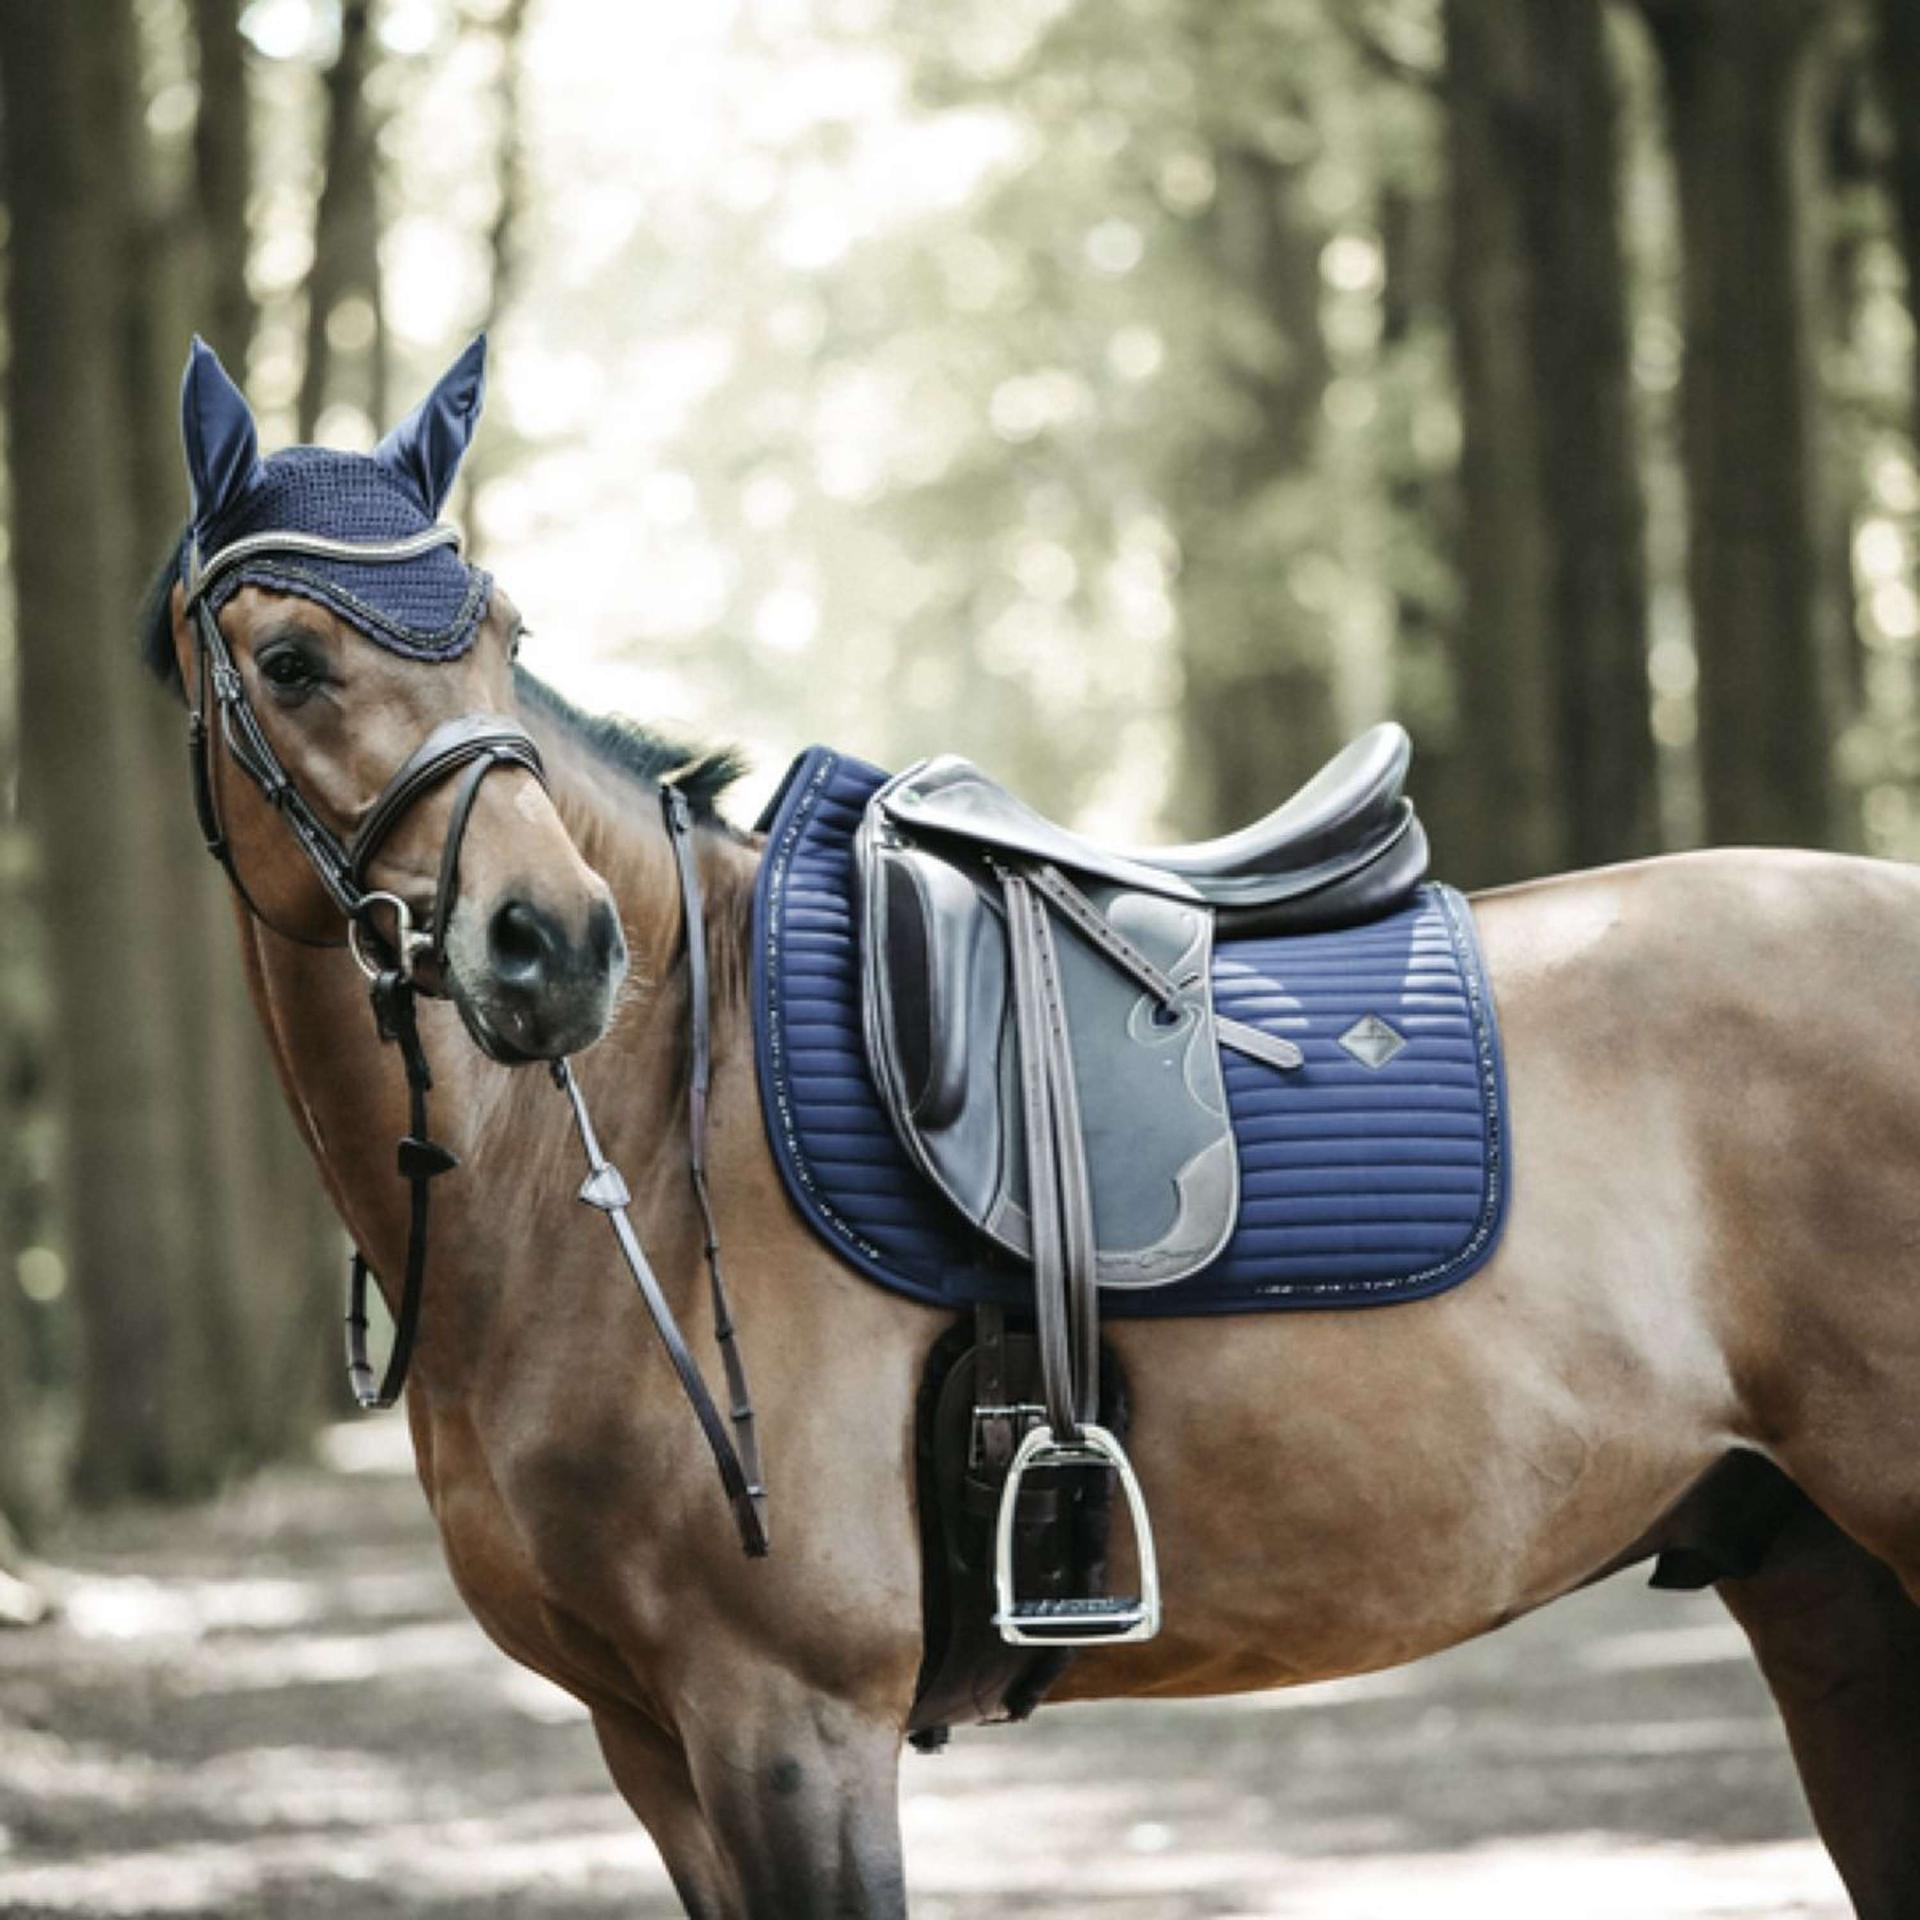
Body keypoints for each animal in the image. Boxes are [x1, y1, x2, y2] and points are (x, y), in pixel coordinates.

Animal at [145, 337, 1920, 1918]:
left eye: (504, 634)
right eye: (290, 661)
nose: (555, 944)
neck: (630, 1144)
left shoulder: (790, 1724)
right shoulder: (650, 1742)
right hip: (1826, 1595)